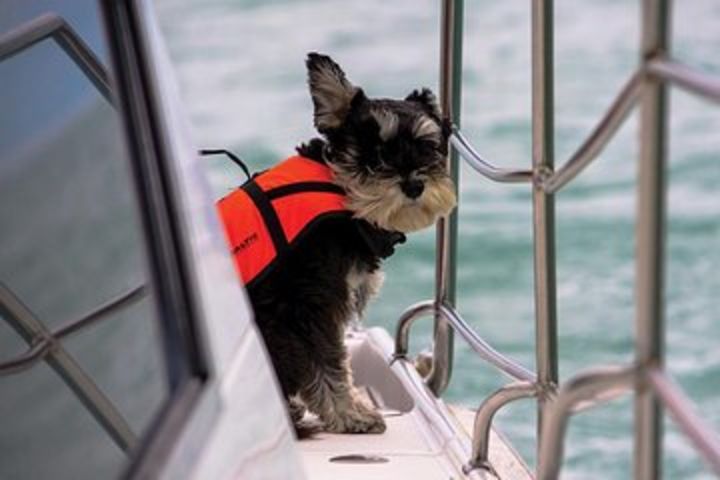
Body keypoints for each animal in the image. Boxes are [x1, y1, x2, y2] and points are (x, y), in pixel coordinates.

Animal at [222, 52, 456, 436]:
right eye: (376, 154)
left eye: (428, 147)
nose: (414, 186)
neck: (341, 189)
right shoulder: (310, 307)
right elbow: (328, 363)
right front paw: (351, 415)